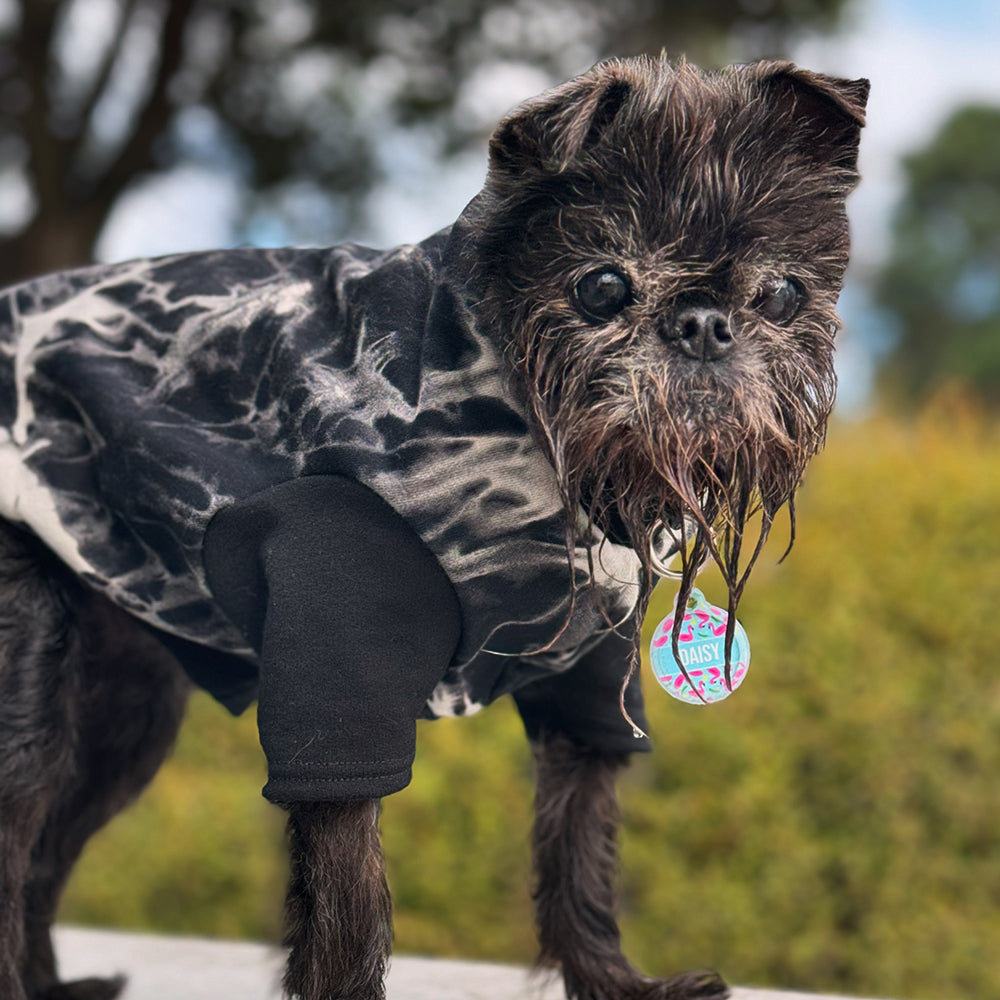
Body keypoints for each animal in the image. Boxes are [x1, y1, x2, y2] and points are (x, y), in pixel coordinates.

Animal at [0, 52, 868, 1000]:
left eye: (782, 294)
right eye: (602, 286)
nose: (705, 323)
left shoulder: (590, 680)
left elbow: (578, 849)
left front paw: (614, 984)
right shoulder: (335, 676)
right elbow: (346, 897)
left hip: (124, 713)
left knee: (44, 850)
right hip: (33, 688)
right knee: (17, 826)